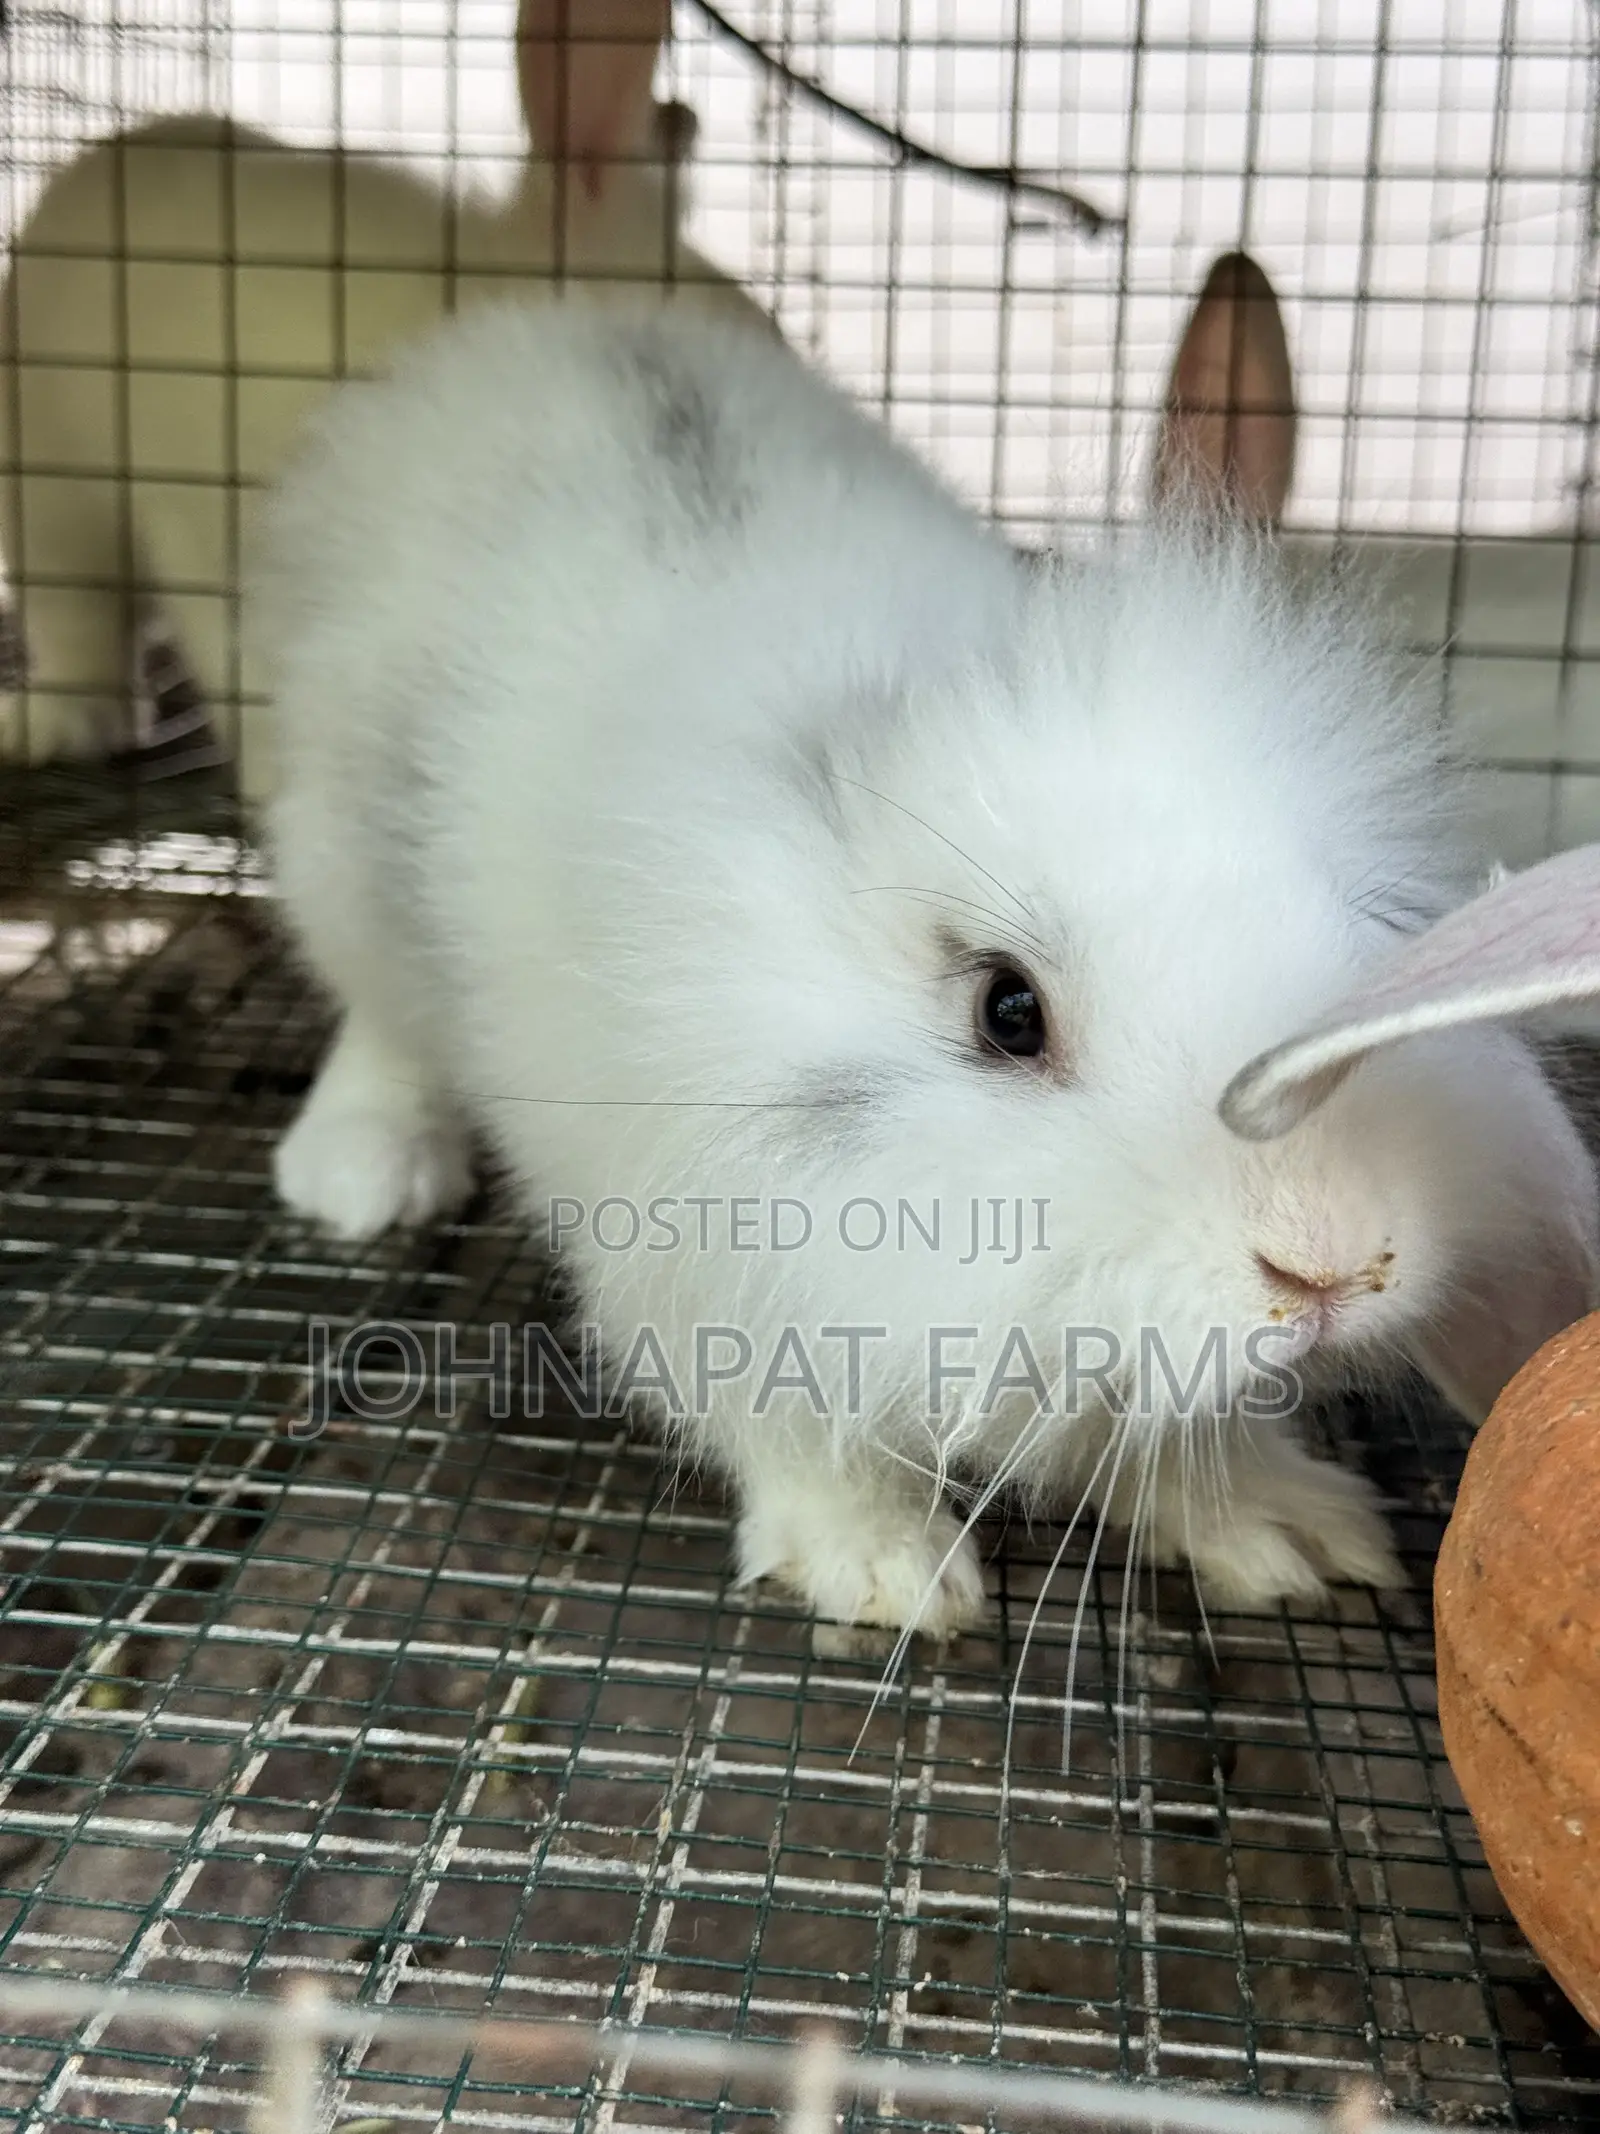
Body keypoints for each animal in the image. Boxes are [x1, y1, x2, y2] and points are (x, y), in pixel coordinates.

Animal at [0, 0, 765, 798]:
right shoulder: (204, 527)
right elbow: (251, 676)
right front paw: (278, 788)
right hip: (49, 489)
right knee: (75, 624)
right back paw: (44, 728)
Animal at [250, 284, 1596, 1642]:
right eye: (1008, 1010)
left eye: (1346, 934)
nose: (1328, 1261)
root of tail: (536, 325)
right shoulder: (703, 1252)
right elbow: (789, 1424)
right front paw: (886, 1567)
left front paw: (1285, 1527)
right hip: (339, 864)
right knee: (379, 1021)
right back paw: (361, 1171)